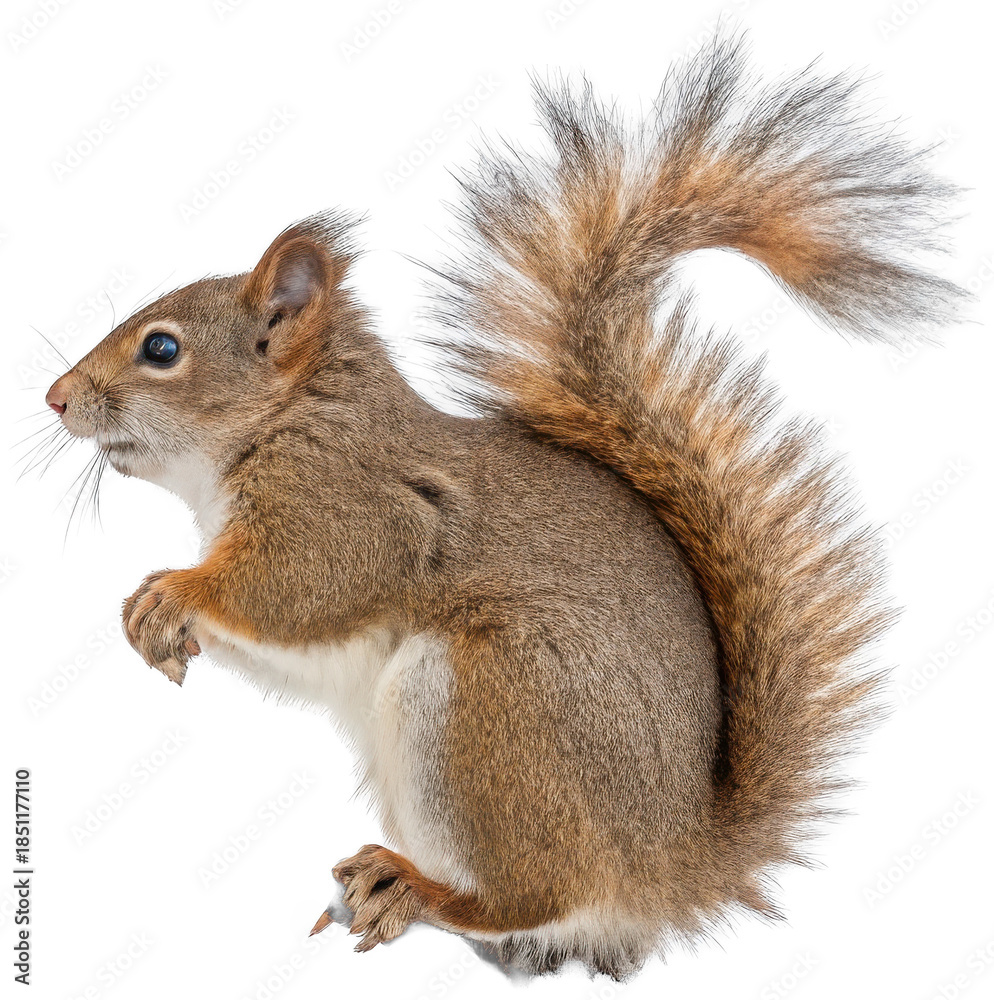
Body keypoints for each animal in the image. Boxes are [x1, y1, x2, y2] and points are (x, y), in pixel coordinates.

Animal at [45, 36, 965, 979]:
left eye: (162, 350)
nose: (55, 398)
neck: (291, 419)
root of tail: (670, 864)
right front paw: (155, 617)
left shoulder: (352, 508)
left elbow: (301, 588)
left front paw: (171, 590)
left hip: (495, 696)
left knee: (538, 892)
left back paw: (420, 890)